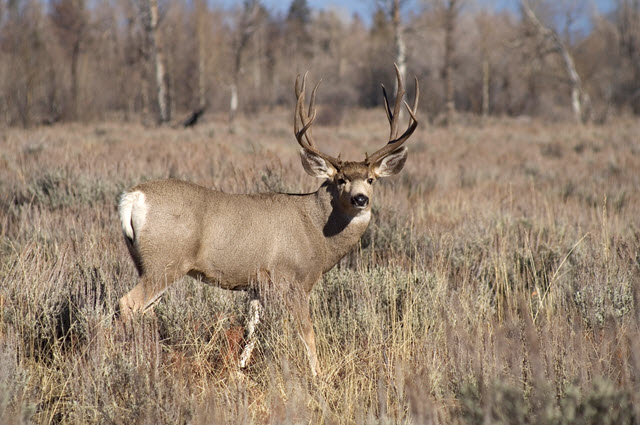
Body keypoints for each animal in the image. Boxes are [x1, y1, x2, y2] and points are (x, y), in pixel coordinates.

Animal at [119, 64, 420, 376]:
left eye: (371, 179)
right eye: (341, 180)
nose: (360, 199)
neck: (316, 231)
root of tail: (133, 197)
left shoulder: (257, 285)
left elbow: (251, 329)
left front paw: (239, 371)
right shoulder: (292, 279)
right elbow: (307, 333)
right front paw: (318, 376)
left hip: (147, 262)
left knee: (144, 309)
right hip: (165, 261)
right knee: (127, 303)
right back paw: (133, 362)